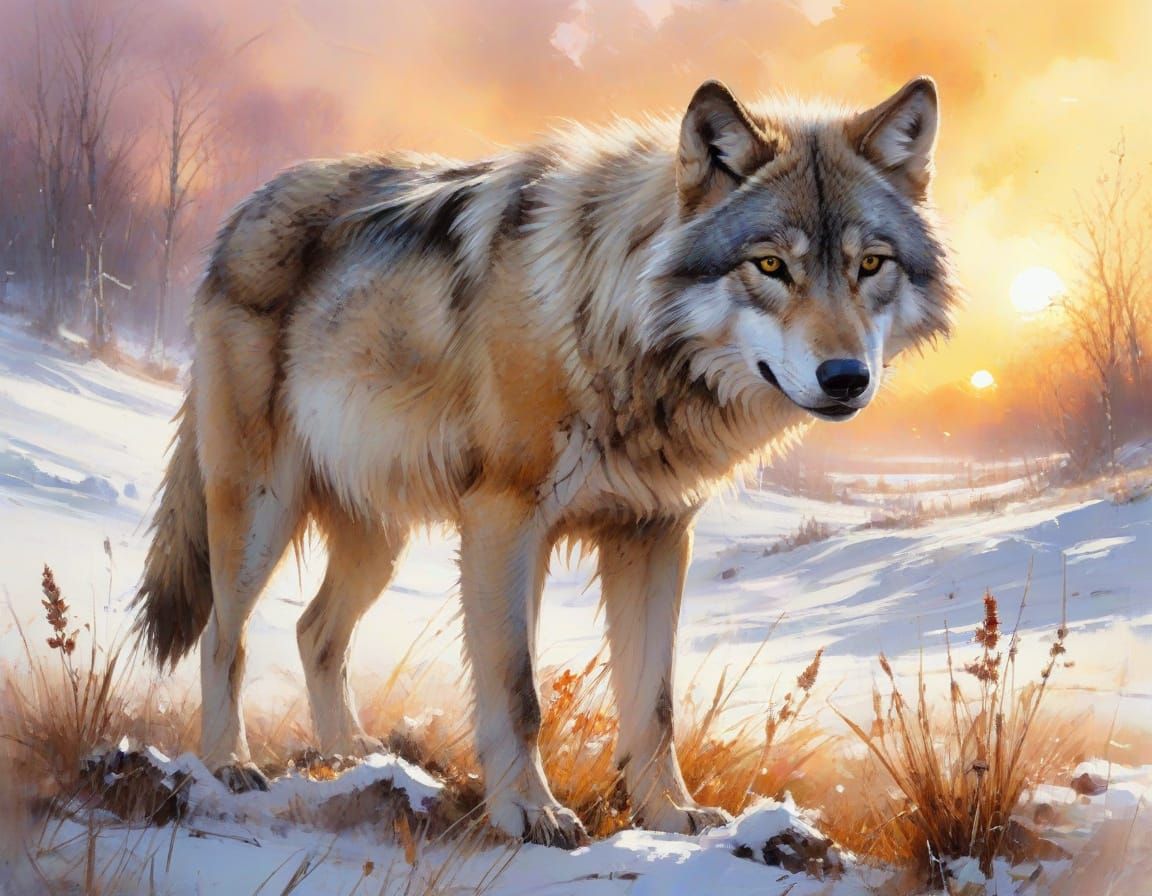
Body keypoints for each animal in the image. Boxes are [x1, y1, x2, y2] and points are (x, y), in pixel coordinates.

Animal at [134, 76, 956, 848]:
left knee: (314, 632)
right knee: (223, 635)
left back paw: (352, 758)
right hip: (260, 512)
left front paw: (669, 815)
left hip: (379, 536)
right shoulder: (504, 521)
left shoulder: (654, 534)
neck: (610, 324)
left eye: (871, 265)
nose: (846, 377)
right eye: (771, 265)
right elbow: (517, 691)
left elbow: (654, 702)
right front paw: (530, 814)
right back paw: (229, 763)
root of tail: (245, 208)